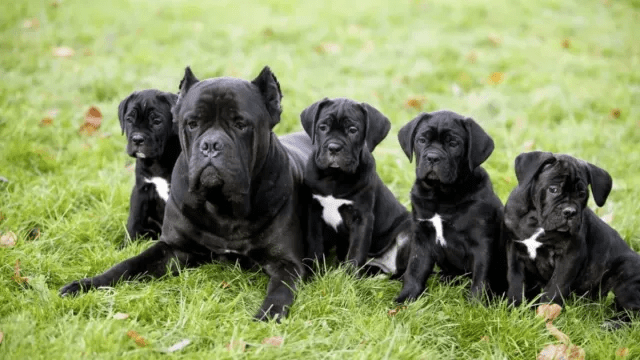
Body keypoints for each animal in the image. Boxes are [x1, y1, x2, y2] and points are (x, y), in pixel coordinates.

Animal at [117, 89, 180, 242]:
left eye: (157, 122)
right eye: (129, 119)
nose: (137, 139)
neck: (158, 161)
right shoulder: (141, 190)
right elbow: (134, 220)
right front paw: (127, 245)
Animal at [300, 98, 410, 276]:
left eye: (353, 130)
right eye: (322, 127)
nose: (334, 147)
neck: (335, 177)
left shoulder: (362, 218)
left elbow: (356, 253)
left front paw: (348, 279)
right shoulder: (314, 212)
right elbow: (314, 244)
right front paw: (313, 273)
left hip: (407, 232)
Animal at [392, 110, 508, 304]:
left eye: (454, 144)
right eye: (421, 140)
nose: (432, 157)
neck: (442, 195)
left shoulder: (482, 244)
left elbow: (481, 278)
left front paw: (476, 305)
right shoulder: (422, 238)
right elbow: (415, 270)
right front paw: (405, 299)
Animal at [504, 150, 640, 322]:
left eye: (582, 194)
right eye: (553, 189)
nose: (570, 212)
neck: (536, 221)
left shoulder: (569, 256)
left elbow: (554, 287)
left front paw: (545, 315)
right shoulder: (515, 250)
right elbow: (515, 281)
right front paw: (514, 310)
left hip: (626, 274)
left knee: (631, 312)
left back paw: (610, 324)